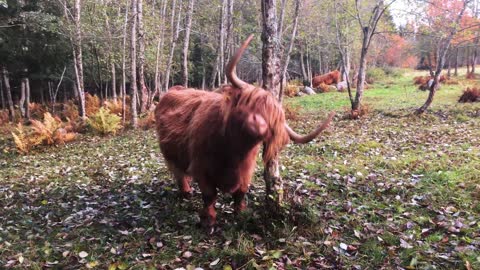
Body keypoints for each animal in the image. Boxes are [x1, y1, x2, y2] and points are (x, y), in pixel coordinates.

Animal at [156, 34, 336, 228]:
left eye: (272, 121)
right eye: (250, 104)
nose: (260, 125)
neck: (233, 151)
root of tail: (174, 89)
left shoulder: (246, 171)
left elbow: (241, 192)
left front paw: (240, 212)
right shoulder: (202, 167)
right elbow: (209, 196)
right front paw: (209, 221)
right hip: (168, 152)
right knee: (178, 172)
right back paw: (186, 191)